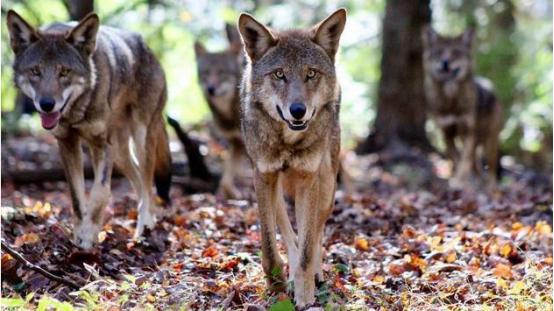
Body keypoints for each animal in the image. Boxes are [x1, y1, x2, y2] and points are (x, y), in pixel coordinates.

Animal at [5, 10, 170, 249]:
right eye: (35, 71)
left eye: (64, 72)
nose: (47, 104)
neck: (75, 112)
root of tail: (147, 47)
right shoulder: (67, 144)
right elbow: (76, 197)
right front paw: (79, 236)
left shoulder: (101, 144)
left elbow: (100, 192)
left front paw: (89, 237)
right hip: (120, 155)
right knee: (140, 182)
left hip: (140, 140)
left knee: (149, 186)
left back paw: (143, 230)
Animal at [193, 25, 247, 200]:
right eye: (206, 73)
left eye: (222, 73)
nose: (211, 89)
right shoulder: (236, 142)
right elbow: (226, 177)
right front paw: (228, 193)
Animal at [236, 8, 344, 308]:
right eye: (279, 74)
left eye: (311, 74)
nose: (298, 110)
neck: (287, 142)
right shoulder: (263, 176)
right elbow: (270, 245)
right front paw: (276, 286)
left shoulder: (309, 179)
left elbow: (307, 247)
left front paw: (305, 294)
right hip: (276, 187)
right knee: (286, 227)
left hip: (327, 186)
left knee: (316, 230)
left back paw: (313, 275)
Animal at [420, 26, 502, 191]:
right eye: (439, 52)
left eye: (456, 52)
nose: (445, 62)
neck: (452, 101)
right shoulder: (447, 133)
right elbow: (457, 158)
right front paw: (461, 180)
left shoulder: (469, 132)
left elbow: (465, 160)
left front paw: (459, 182)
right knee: (476, 164)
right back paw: (478, 181)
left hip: (490, 141)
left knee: (490, 167)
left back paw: (491, 188)